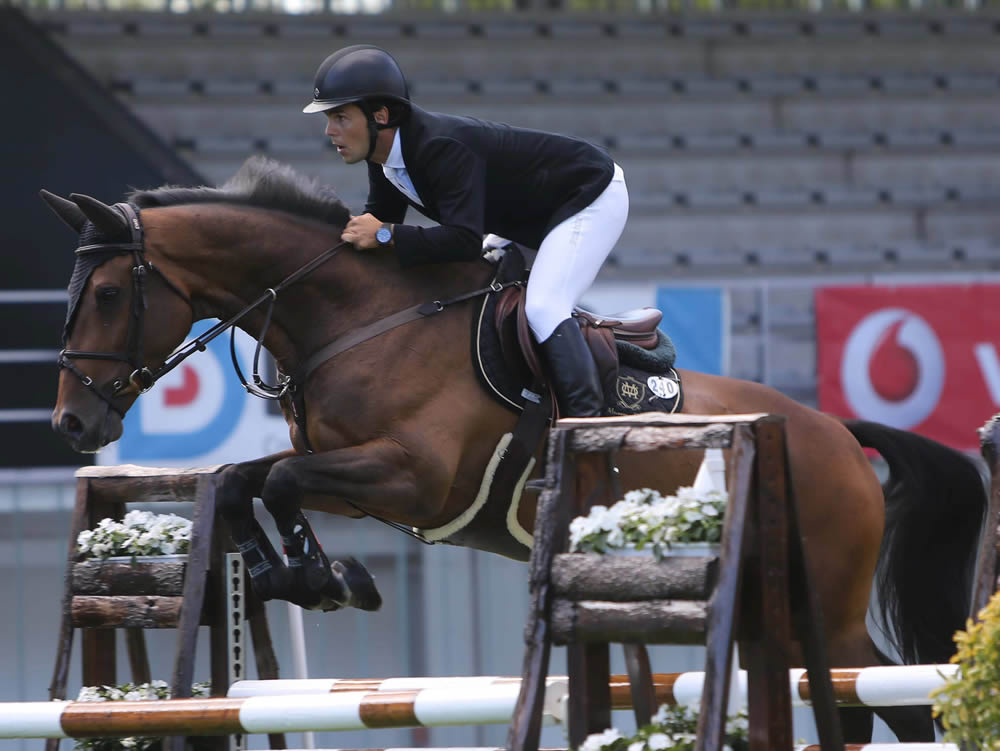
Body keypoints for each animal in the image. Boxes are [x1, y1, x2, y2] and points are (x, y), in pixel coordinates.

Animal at [41, 159, 984, 748]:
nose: (71, 426)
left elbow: (278, 479)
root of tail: (833, 433)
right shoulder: (359, 478)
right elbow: (247, 483)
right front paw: (297, 576)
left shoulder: (409, 476)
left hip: (823, 605)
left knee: (880, 702)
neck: (356, 318)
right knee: (882, 698)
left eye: (111, 293)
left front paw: (327, 577)